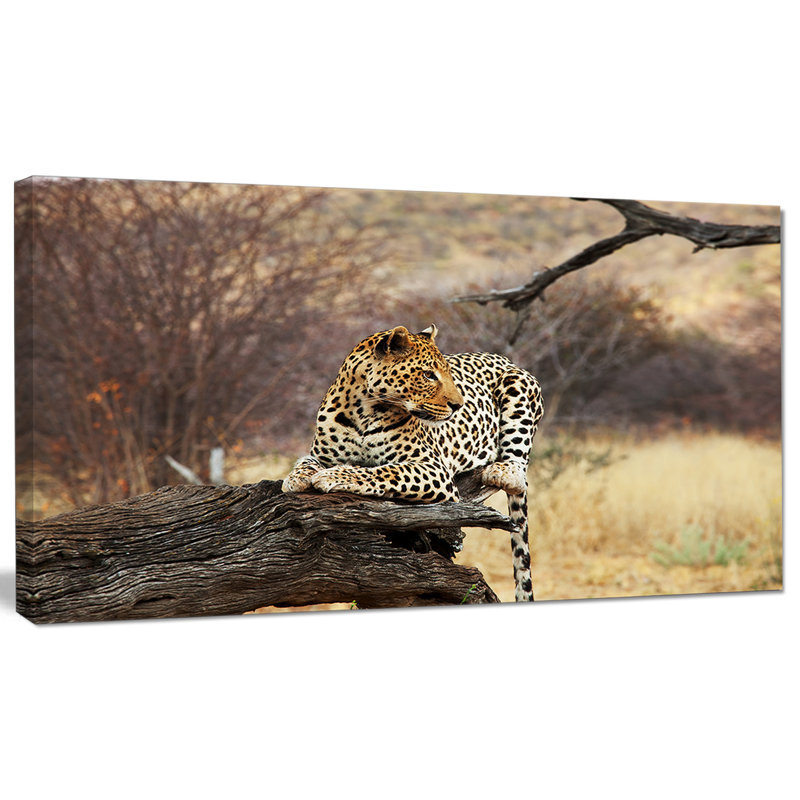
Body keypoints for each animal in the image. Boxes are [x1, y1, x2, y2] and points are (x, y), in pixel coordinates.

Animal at [282, 324, 544, 601]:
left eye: (446, 374)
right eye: (428, 375)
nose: (458, 405)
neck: (363, 411)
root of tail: (505, 359)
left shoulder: (433, 469)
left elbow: (384, 471)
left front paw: (335, 476)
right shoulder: (321, 455)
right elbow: (307, 461)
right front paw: (296, 478)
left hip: (519, 385)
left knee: (517, 473)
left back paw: (502, 470)